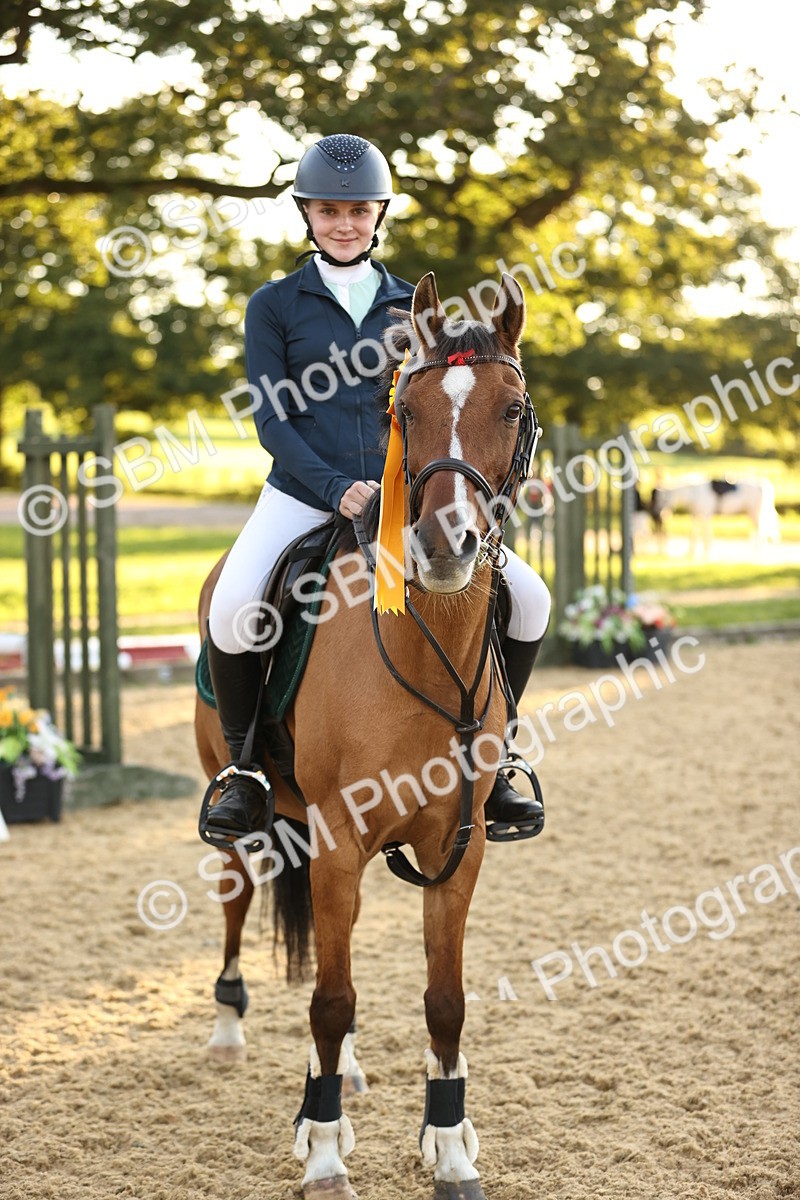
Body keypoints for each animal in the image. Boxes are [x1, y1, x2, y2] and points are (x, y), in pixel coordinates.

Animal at [650, 477, 780, 556]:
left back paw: (757, 551)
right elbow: (693, 534)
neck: (694, 494)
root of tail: (765, 484)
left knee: (761, 531)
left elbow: (705, 534)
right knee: (758, 530)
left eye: (662, 499)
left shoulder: (705, 515)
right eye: (655, 499)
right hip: (751, 513)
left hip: (756, 513)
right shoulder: (696, 516)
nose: (658, 514)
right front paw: (690, 552)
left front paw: (705, 553)